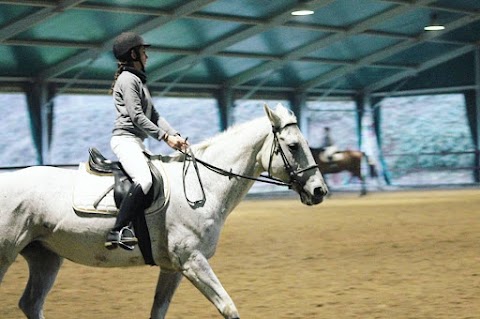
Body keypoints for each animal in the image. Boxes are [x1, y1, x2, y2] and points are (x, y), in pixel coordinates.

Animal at [0, 104, 328, 318]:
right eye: (294, 145)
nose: (319, 191)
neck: (203, 185)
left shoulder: (174, 268)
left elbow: (158, 311)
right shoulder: (192, 261)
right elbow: (228, 307)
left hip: (45, 257)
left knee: (31, 304)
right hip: (7, 253)